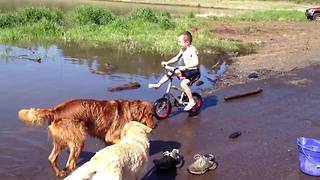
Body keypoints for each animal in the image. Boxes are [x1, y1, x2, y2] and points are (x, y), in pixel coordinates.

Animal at [17, 99, 155, 176]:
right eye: (149, 114)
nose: (155, 126)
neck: (130, 111)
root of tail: (55, 111)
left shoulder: (108, 140)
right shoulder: (111, 136)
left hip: (61, 141)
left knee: (52, 158)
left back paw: (59, 173)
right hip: (79, 140)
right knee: (70, 163)